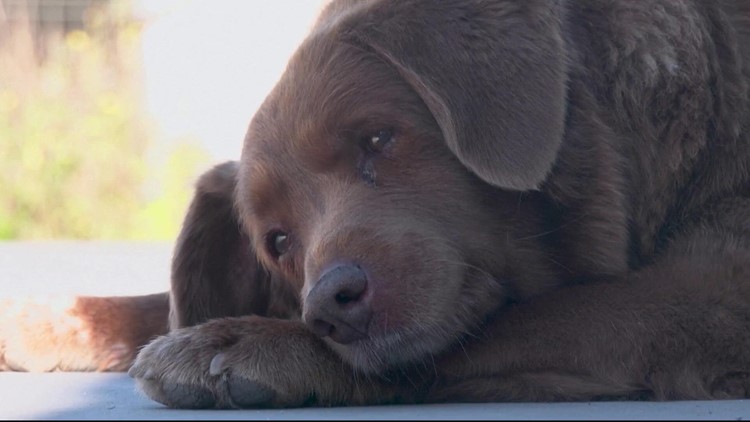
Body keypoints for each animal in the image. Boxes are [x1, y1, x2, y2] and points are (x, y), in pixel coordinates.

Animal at [1, 0, 750, 408]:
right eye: (279, 242)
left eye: (379, 138)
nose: (329, 305)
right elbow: (155, 301)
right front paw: (39, 319)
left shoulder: (712, 294)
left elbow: (524, 319)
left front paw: (249, 342)